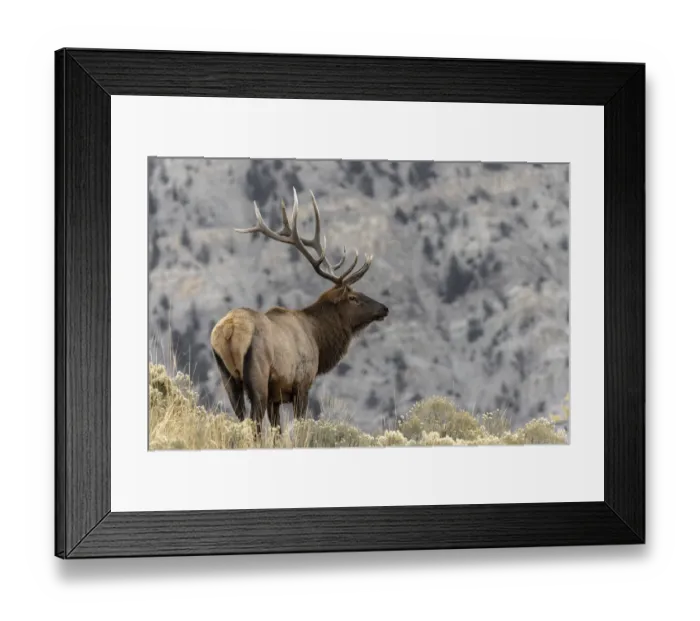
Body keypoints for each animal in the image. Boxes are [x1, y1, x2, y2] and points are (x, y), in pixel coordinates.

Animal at [210, 188, 389, 434]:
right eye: (353, 298)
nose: (384, 308)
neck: (318, 338)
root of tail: (229, 330)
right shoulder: (301, 384)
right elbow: (301, 426)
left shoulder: (275, 396)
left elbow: (278, 431)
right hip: (257, 375)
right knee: (255, 423)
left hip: (227, 377)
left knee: (241, 417)